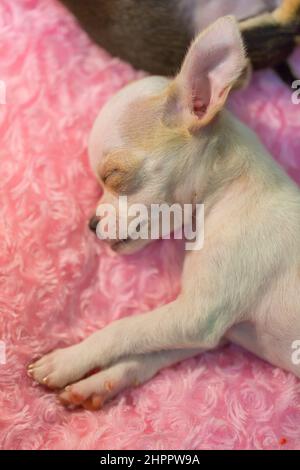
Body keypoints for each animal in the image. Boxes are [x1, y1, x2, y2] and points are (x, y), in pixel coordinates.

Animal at [28, 16, 300, 410]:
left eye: (114, 175)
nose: (91, 224)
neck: (230, 196)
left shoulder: (197, 316)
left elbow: (124, 329)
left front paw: (67, 359)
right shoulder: (216, 332)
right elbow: (144, 356)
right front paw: (97, 384)